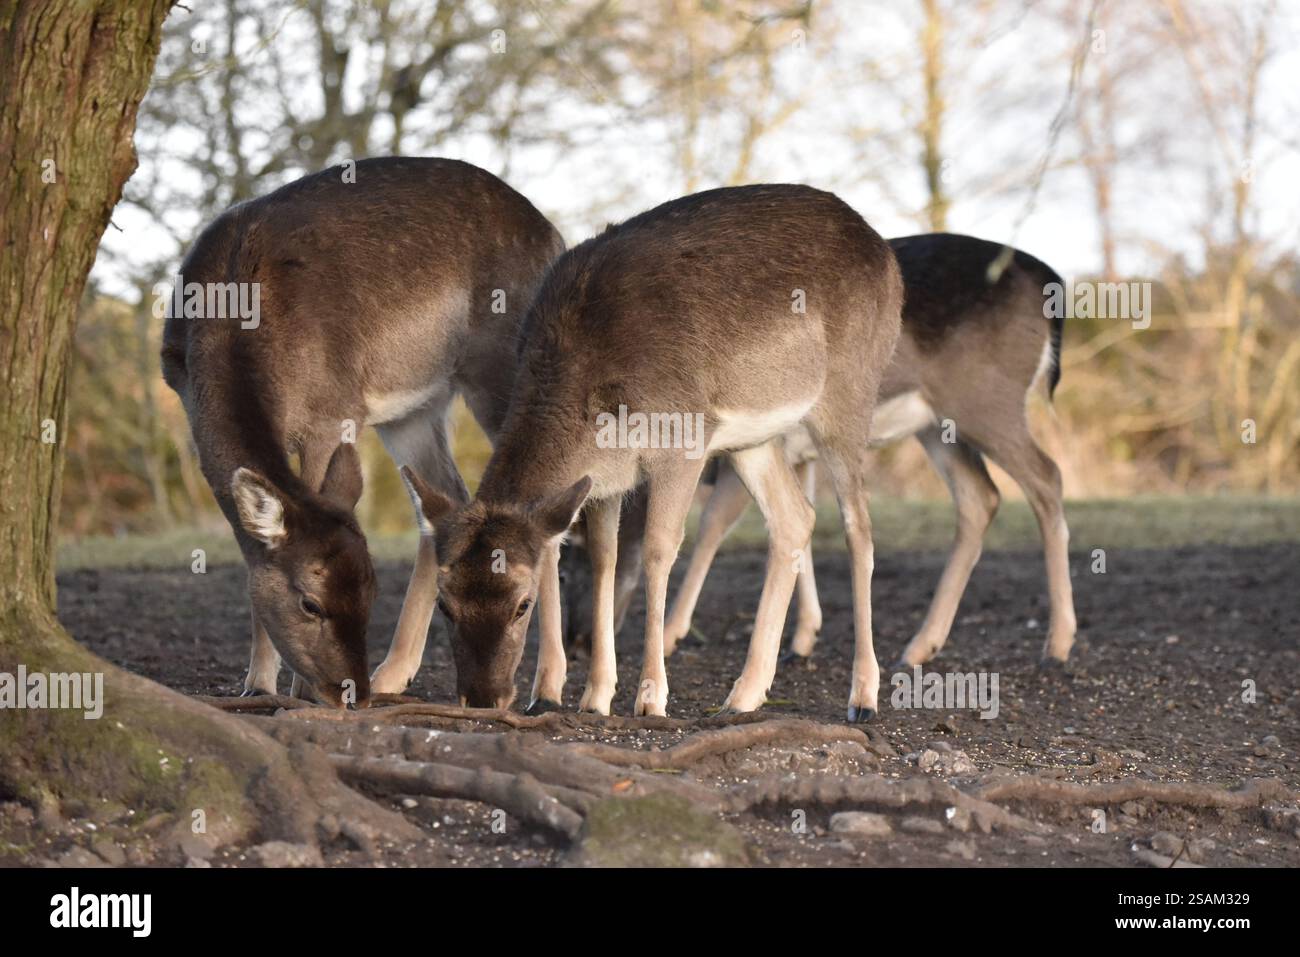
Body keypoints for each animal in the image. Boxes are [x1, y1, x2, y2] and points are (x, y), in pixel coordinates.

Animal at [161, 157, 564, 707]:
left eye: (371, 591)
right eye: (310, 603)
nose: (350, 692)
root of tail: (555, 236)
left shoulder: (330, 411)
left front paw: (295, 690)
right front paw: (255, 684)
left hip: (502, 366)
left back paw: (552, 690)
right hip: (411, 410)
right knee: (444, 500)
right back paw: (396, 672)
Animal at [401, 183, 903, 720]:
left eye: (523, 604)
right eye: (445, 603)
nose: (482, 698)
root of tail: (885, 253)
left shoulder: (683, 439)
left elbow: (658, 550)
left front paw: (650, 697)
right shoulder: (603, 479)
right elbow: (604, 557)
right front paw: (594, 695)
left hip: (849, 394)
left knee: (858, 528)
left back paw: (863, 696)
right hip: (753, 438)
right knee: (795, 518)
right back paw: (744, 695)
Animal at [561, 232, 1076, 674]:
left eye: (573, 562)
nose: (579, 642)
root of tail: (1049, 278)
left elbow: (714, 524)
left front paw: (672, 634)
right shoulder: (794, 449)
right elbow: (801, 521)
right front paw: (803, 636)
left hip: (986, 401)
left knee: (1047, 476)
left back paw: (1058, 643)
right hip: (938, 425)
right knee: (981, 496)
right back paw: (919, 645)